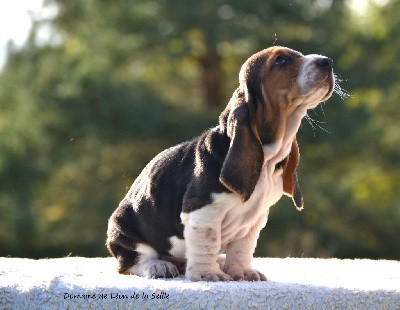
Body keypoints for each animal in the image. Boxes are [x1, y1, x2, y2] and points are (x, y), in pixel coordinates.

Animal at [106, 46, 334, 280]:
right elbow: (206, 244)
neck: (267, 159)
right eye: (280, 61)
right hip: (124, 230)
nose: (327, 62)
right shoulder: (203, 213)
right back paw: (158, 266)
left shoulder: (253, 222)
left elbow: (242, 249)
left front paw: (241, 272)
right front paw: (208, 274)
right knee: (133, 261)